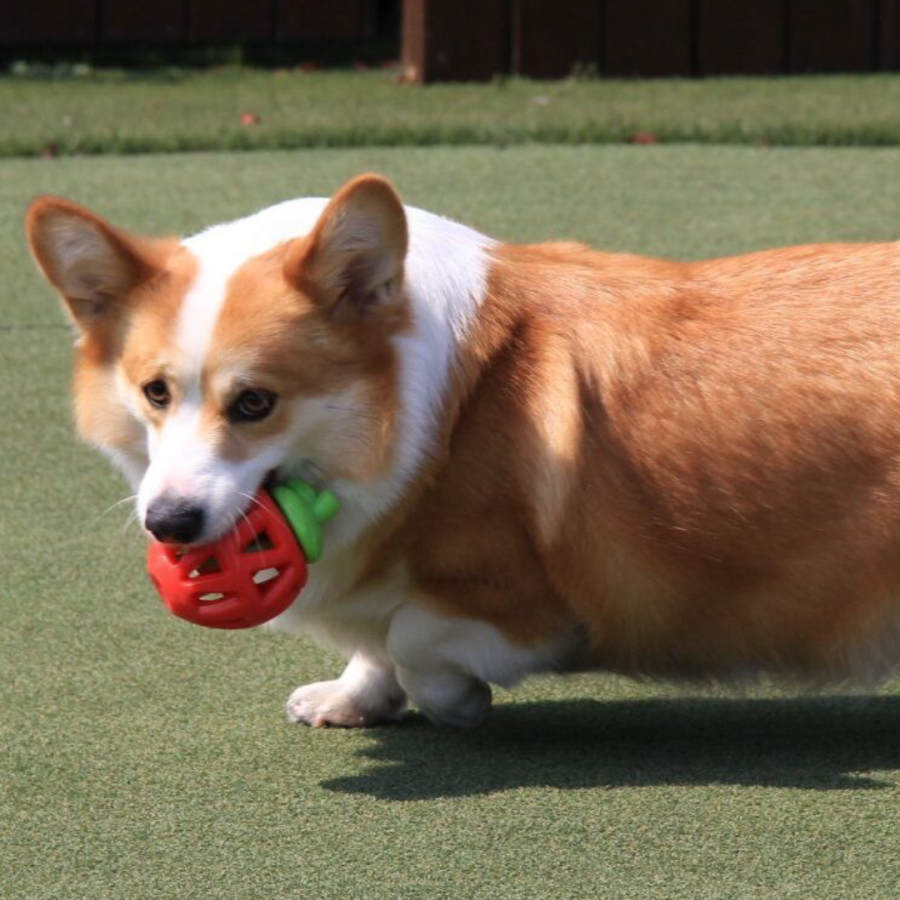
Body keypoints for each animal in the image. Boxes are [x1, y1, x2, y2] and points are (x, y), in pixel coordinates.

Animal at [21, 172, 900, 728]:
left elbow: (410, 636)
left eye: (256, 403)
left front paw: (453, 704)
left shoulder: (527, 604)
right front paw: (353, 699)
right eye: (155, 392)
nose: (168, 524)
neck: (425, 414)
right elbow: (376, 643)